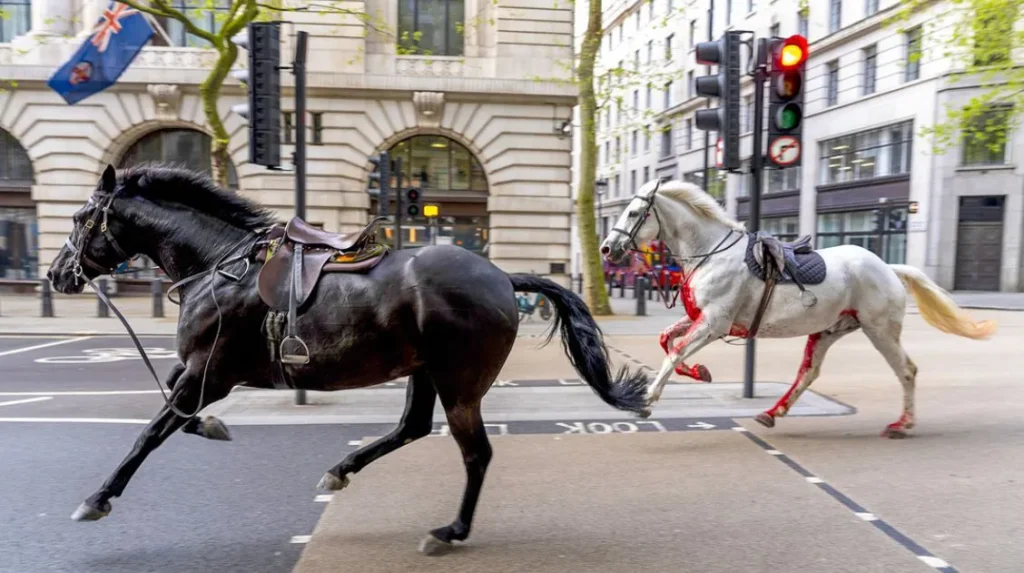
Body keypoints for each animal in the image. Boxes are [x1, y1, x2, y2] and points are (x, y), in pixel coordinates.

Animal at [46, 163, 651, 554]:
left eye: (79, 218)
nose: (55, 275)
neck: (220, 266)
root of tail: (503, 276)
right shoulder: (200, 372)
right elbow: (174, 410)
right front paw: (214, 427)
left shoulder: (210, 372)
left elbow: (151, 431)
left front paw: (98, 498)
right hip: (424, 372)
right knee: (411, 428)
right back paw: (341, 471)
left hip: (459, 383)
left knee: (475, 454)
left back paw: (450, 531)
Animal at [599, 179, 996, 438]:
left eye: (634, 212)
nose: (606, 249)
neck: (710, 253)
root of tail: (888, 267)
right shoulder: (702, 319)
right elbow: (667, 340)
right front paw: (701, 372)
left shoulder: (715, 323)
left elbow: (675, 352)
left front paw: (647, 400)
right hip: (829, 330)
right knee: (809, 373)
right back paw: (773, 413)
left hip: (879, 330)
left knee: (907, 371)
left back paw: (903, 424)